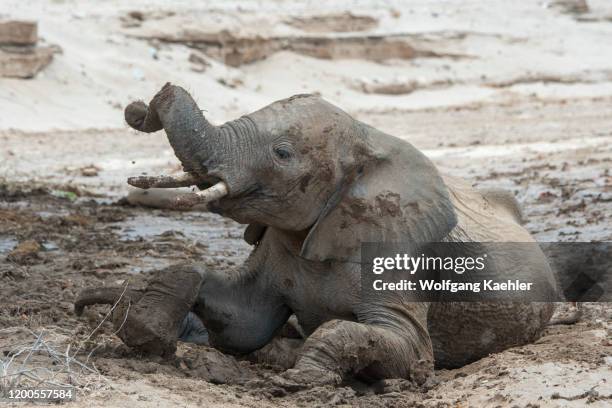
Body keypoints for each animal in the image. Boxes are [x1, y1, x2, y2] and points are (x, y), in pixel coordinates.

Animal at [74, 83, 556, 388]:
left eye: (282, 153)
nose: (140, 107)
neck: (367, 138)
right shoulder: (276, 243)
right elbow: (243, 321)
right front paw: (143, 331)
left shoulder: (396, 252)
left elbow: (407, 347)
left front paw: (300, 381)